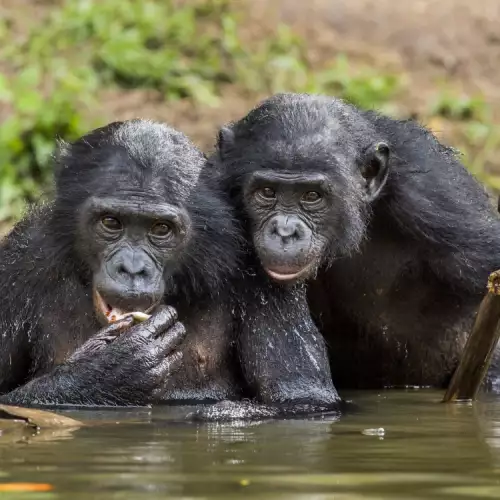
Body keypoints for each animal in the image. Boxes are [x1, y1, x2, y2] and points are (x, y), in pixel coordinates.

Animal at [0, 118, 340, 418]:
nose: (132, 269)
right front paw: (106, 370)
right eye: (111, 222)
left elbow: (302, 396)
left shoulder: (259, 266)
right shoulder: (17, 262)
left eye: (161, 229)